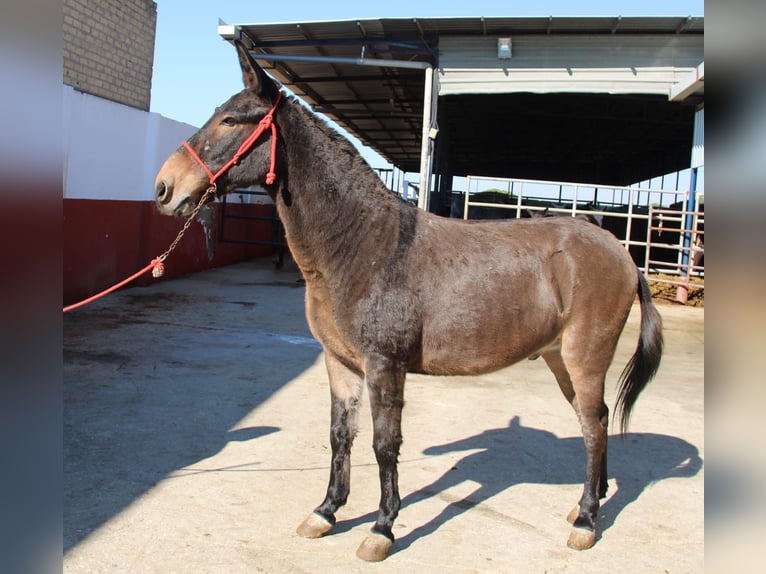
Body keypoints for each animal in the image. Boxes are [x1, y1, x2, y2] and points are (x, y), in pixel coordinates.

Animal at [154, 41, 663, 562]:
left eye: (232, 119)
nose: (164, 188)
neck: (365, 244)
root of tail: (621, 252)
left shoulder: (384, 364)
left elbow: (384, 443)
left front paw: (382, 528)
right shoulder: (341, 363)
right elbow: (340, 436)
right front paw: (326, 511)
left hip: (584, 358)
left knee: (593, 425)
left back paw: (586, 519)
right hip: (559, 358)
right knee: (595, 419)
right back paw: (591, 500)